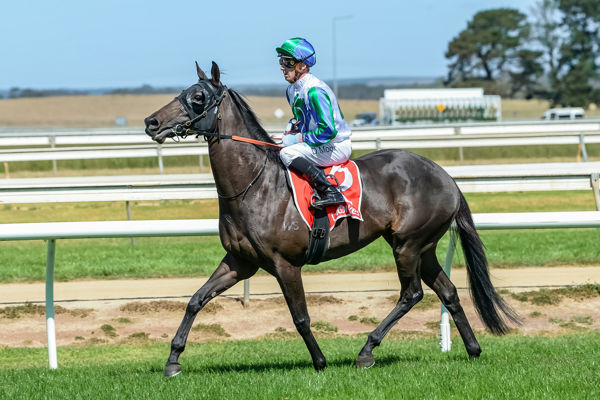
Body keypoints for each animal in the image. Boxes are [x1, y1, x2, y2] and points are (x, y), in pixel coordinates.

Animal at [143, 61, 516, 376]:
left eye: (198, 97)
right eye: (183, 91)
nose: (151, 122)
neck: (255, 185)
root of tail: (446, 177)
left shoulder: (284, 264)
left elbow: (301, 317)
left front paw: (320, 361)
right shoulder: (240, 261)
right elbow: (195, 300)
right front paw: (173, 360)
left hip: (408, 244)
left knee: (411, 294)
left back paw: (367, 350)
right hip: (421, 248)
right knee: (448, 292)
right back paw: (473, 349)